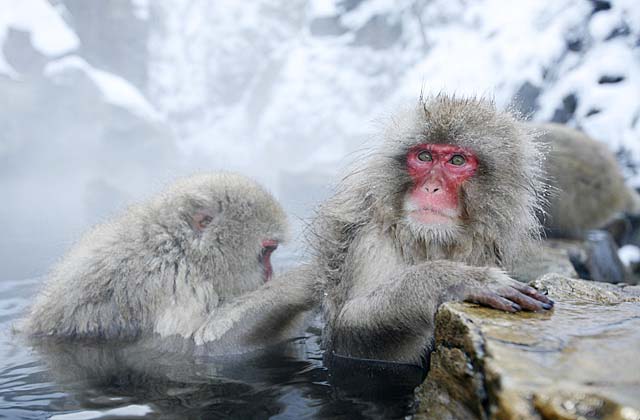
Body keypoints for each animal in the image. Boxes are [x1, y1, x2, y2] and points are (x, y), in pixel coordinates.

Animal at [22, 172, 318, 352]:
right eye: (267, 252)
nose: (270, 274)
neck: (177, 249)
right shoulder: (171, 283)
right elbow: (198, 344)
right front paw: (298, 284)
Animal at [316, 94, 556, 364]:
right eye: (424, 157)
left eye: (457, 161)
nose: (431, 187)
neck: (428, 241)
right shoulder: (371, 242)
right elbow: (348, 329)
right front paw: (450, 281)